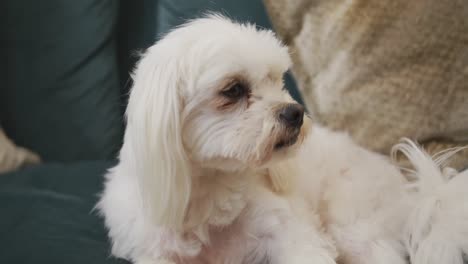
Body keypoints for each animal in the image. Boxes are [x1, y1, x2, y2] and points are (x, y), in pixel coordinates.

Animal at [97, 14, 466, 264]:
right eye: (233, 89)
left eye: (276, 79)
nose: (295, 112)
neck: (210, 192)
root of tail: (414, 194)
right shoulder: (153, 249)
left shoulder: (290, 231)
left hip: (353, 221)